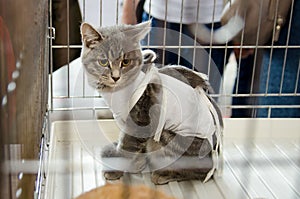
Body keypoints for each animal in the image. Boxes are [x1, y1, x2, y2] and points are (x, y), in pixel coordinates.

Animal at [79, 20, 223, 185]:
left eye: (125, 62)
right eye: (103, 62)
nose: (115, 77)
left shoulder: (141, 120)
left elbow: (127, 147)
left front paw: (116, 169)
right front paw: (136, 163)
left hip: (171, 138)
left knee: (200, 170)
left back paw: (164, 174)